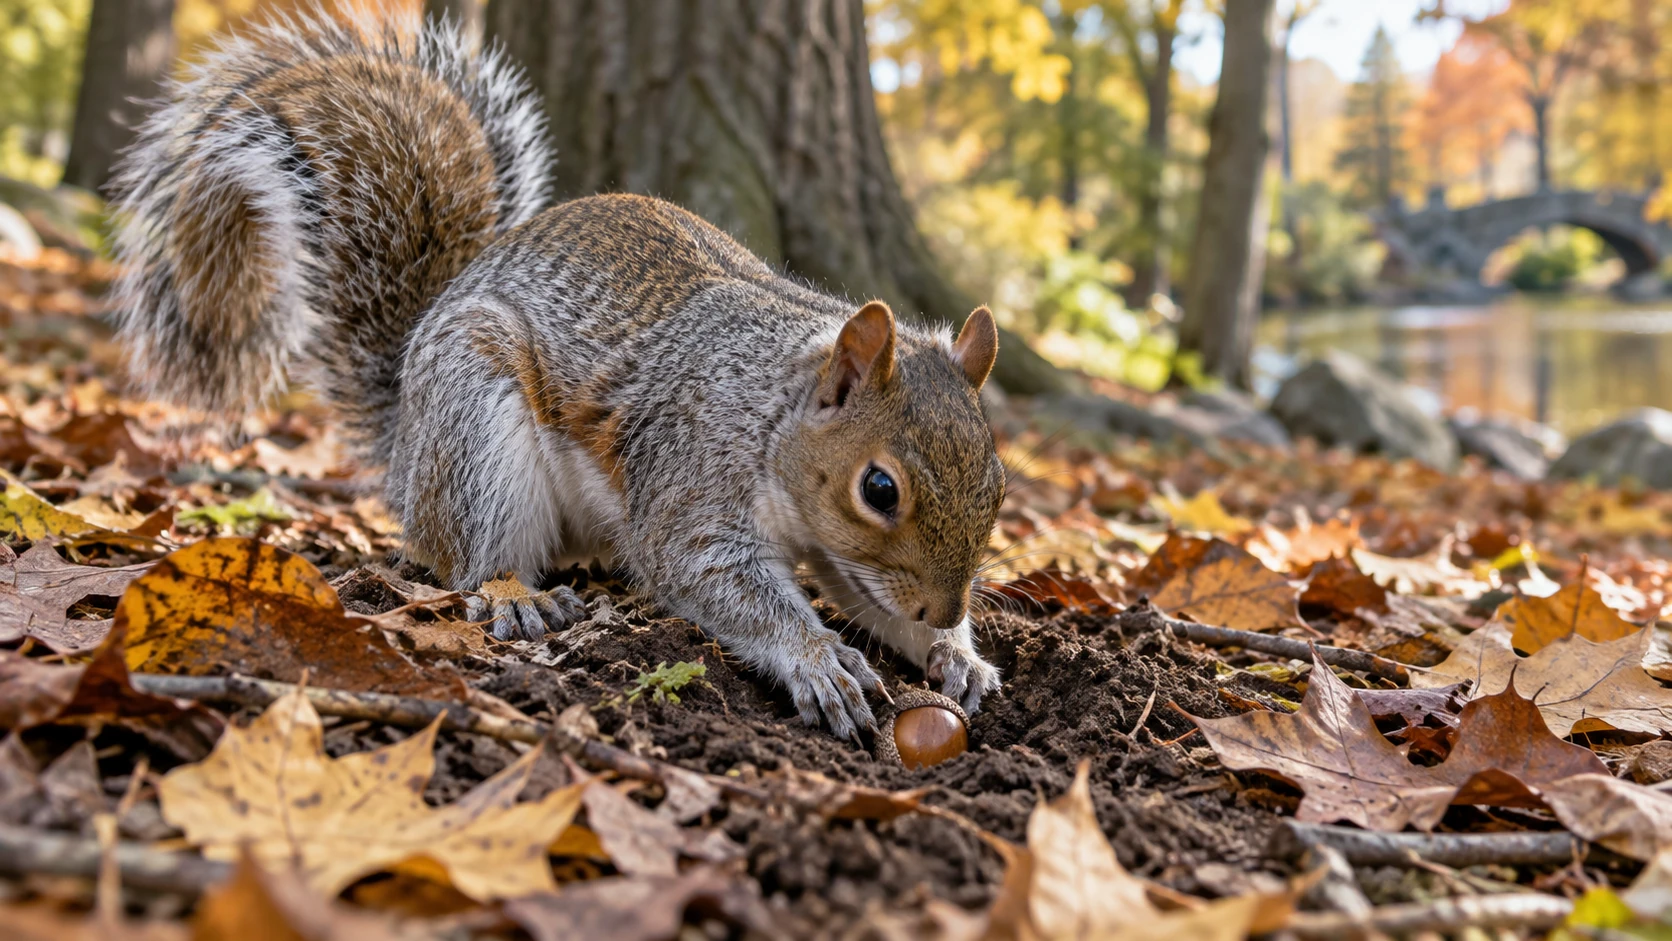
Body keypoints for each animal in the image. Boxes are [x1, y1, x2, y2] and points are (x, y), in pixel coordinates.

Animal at [110, 9, 1004, 740]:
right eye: (879, 488)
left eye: (997, 486)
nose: (945, 605)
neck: (771, 408)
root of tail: (404, 445)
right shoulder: (692, 471)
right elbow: (704, 569)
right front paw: (817, 658)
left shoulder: (846, 554)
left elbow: (866, 594)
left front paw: (954, 653)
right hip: (476, 423)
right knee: (466, 556)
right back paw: (517, 593)